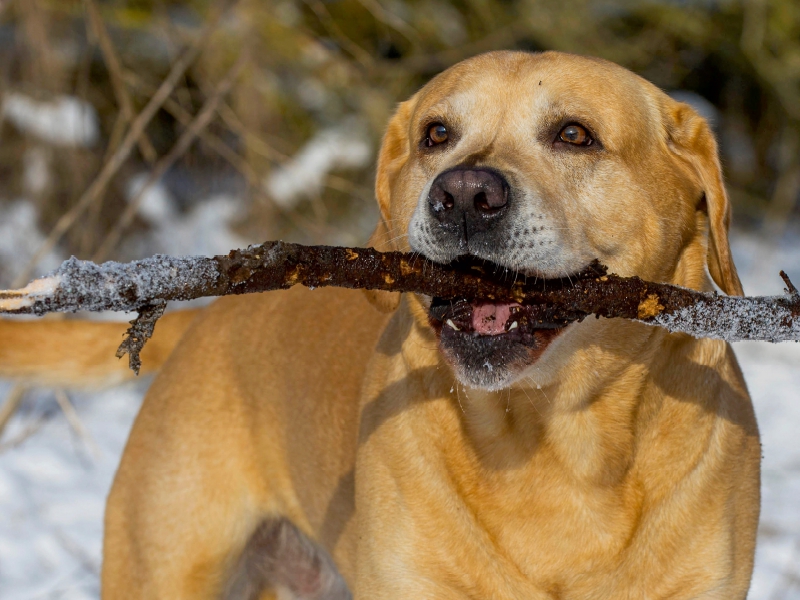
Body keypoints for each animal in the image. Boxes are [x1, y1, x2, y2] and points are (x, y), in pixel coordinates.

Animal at [1, 50, 764, 596]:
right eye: (437, 134)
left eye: (575, 134)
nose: (464, 192)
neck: (555, 436)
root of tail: (209, 316)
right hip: (163, 561)